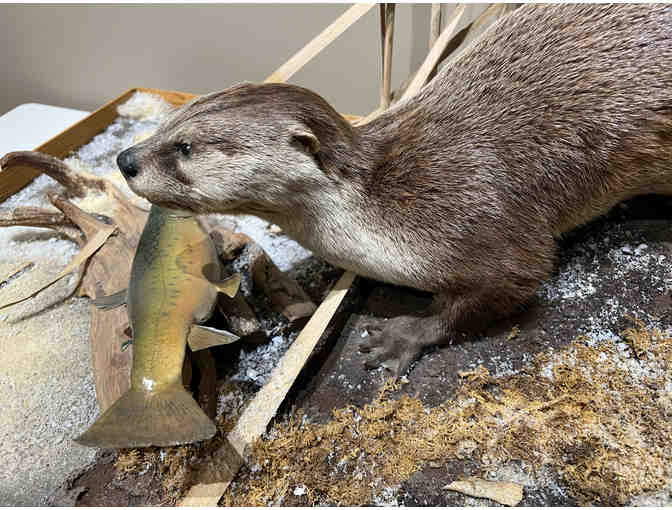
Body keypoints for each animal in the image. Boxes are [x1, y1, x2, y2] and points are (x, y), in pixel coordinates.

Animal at [117, 4, 672, 375]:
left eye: (186, 147)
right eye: (172, 121)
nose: (125, 159)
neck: (381, 205)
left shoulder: (478, 215)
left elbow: (514, 279)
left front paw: (399, 336)